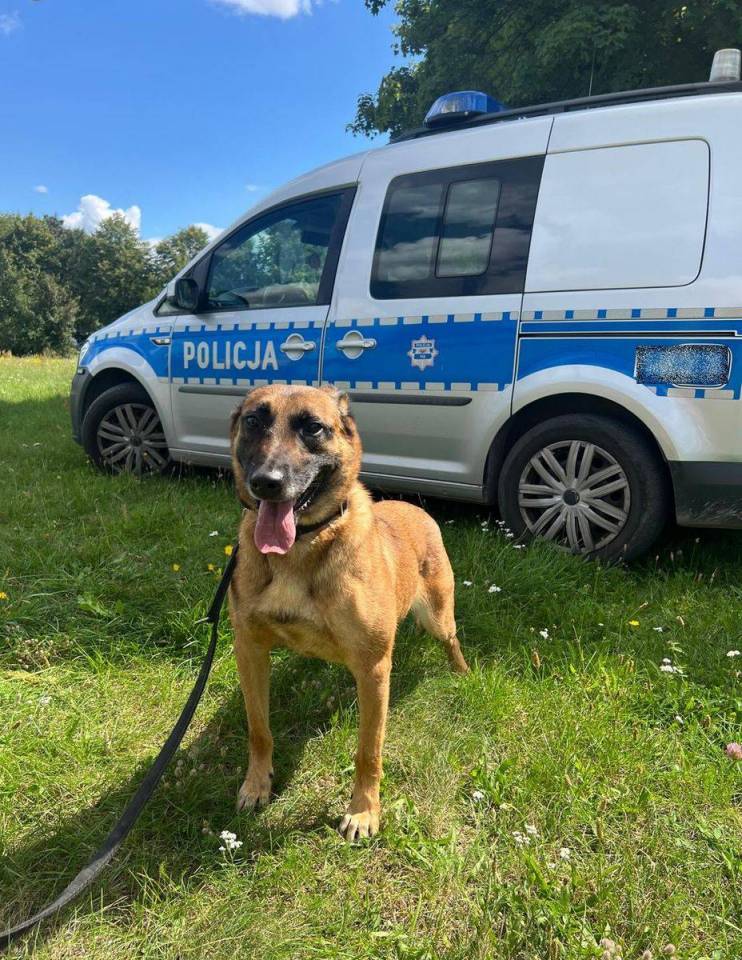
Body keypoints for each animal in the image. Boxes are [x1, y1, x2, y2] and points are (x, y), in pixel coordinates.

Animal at [228, 384, 468, 841]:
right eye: (253, 421)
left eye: (312, 427)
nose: (266, 482)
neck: (301, 548)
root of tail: (414, 507)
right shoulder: (250, 651)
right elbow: (258, 729)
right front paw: (256, 784)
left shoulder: (373, 669)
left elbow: (368, 752)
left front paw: (363, 811)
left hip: (437, 616)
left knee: (452, 640)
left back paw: (462, 673)